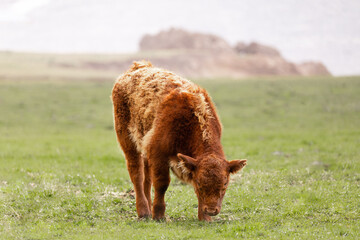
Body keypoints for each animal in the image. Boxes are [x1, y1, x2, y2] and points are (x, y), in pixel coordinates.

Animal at [112, 61, 248, 221]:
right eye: (199, 183)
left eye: (225, 183)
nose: (211, 210)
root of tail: (137, 67)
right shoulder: (158, 153)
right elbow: (162, 183)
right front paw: (159, 215)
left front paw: (205, 218)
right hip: (128, 141)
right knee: (137, 174)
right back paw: (144, 212)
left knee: (146, 178)